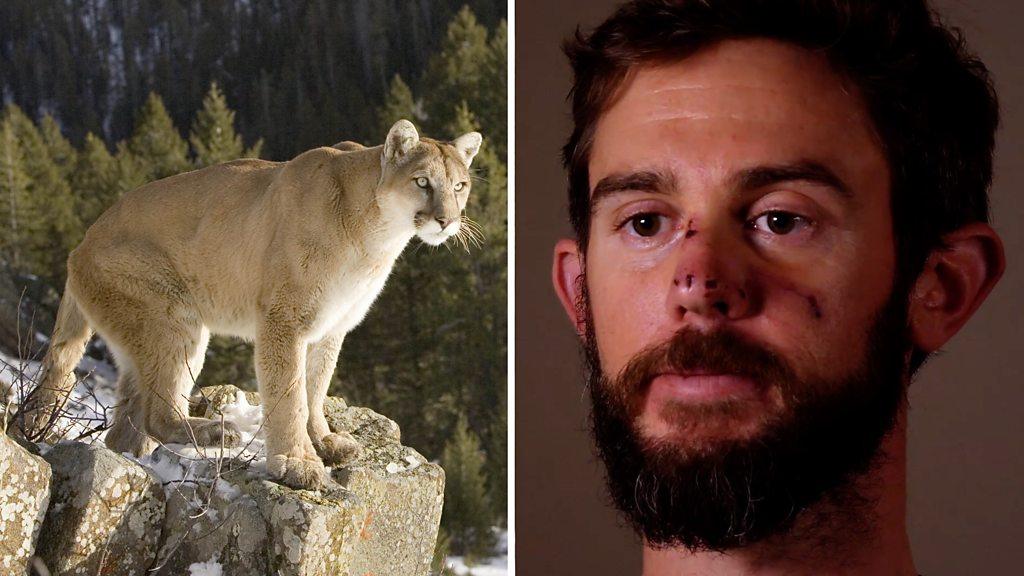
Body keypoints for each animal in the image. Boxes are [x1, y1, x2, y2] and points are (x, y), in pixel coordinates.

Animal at [22, 120, 481, 487]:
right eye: (422, 182)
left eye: (460, 185)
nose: (447, 220)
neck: (376, 235)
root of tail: (80, 244)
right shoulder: (285, 319)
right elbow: (290, 392)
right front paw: (296, 462)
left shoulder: (332, 326)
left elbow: (316, 385)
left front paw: (323, 440)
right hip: (174, 316)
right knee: (156, 413)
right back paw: (213, 433)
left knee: (126, 427)